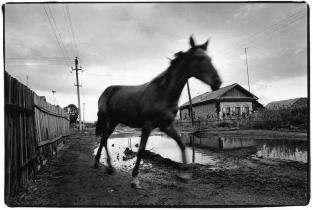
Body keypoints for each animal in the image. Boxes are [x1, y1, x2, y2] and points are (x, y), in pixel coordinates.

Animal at [94, 35, 221, 189]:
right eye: (200, 58)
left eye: (210, 58)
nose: (217, 82)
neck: (163, 92)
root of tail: (105, 91)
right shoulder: (147, 125)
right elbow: (141, 150)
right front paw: (135, 179)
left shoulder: (166, 125)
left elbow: (181, 144)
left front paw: (184, 175)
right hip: (108, 120)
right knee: (104, 139)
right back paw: (109, 167)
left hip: (114, 121)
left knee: (104, 139)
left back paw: (100, 164)